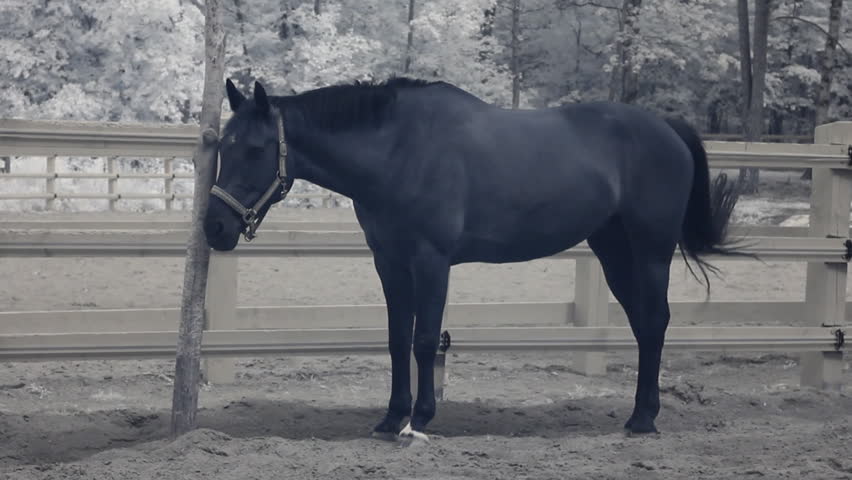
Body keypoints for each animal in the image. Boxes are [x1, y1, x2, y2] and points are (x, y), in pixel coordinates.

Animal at [204, 77, 742, 442]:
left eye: (256, 148)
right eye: (221, 147)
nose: (215, 228)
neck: (398, 149)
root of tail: (666, 127)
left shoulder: (431, 261)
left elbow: (423, 340)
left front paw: (420, 419)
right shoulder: (390, 263)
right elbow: (396, 340)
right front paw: (390, 418)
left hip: (650, 252)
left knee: (654, 322)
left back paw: (644, 418)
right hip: (613, 252)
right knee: (643, 325)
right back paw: (638, 415)